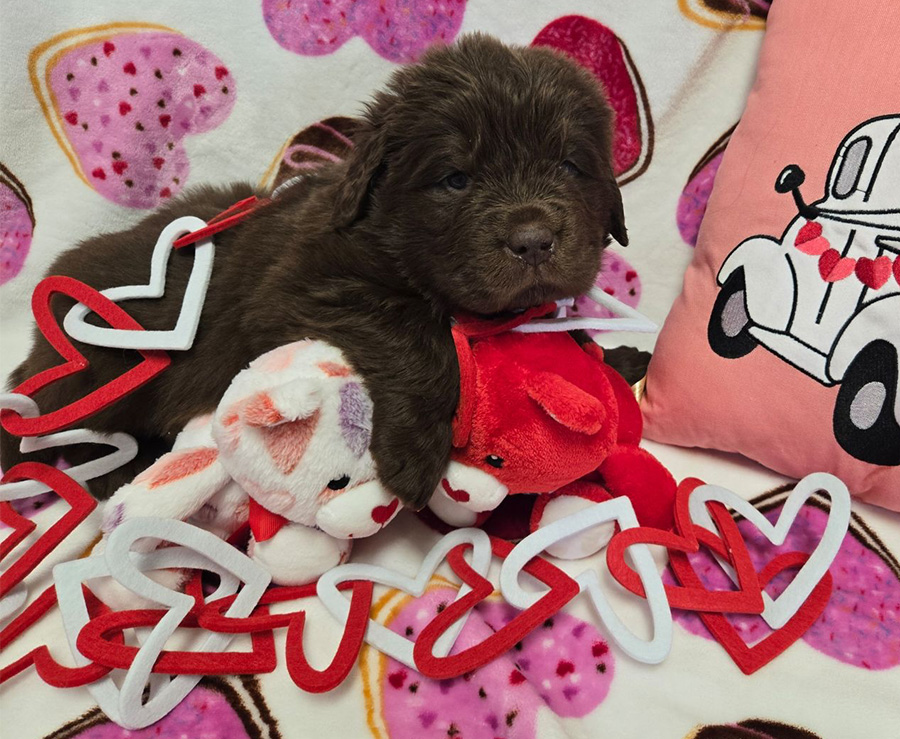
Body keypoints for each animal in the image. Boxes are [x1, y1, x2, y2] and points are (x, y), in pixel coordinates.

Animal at [1, 36, 624, 508]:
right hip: (103, 368)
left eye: (571, 165)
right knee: (62, 431)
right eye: (455, 179)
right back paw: (116, 469)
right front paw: (415, 456)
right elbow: (416, 335)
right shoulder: (300, 287)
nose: (534, 241)